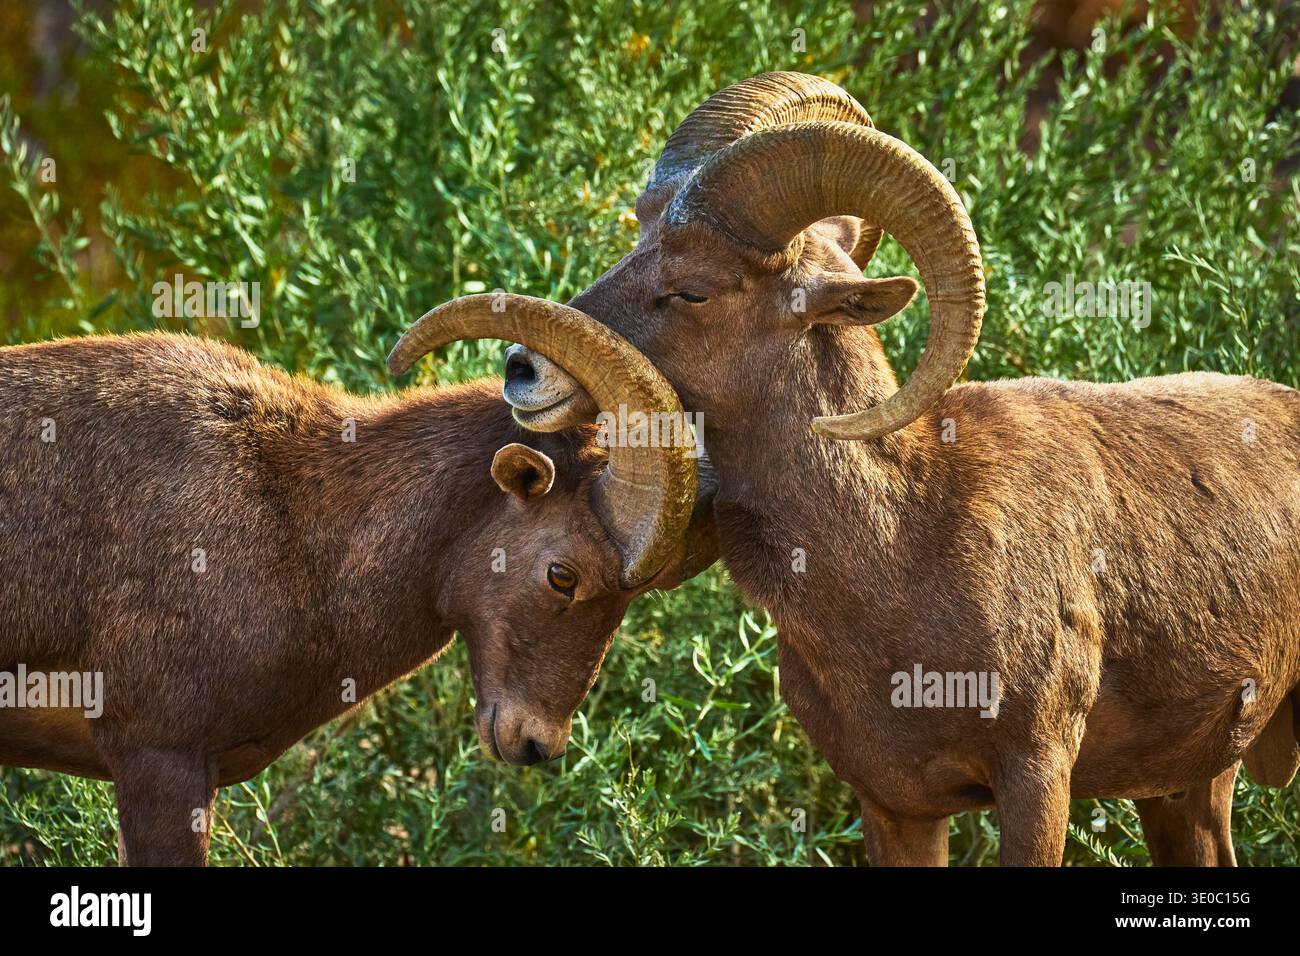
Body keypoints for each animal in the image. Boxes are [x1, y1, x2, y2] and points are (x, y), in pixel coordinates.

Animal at [472, 72, 1300, 865]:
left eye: (693, 288)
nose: (521, 369)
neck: (903, 544)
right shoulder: (896, 804)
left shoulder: (1037, 782)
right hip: (1186, 791)